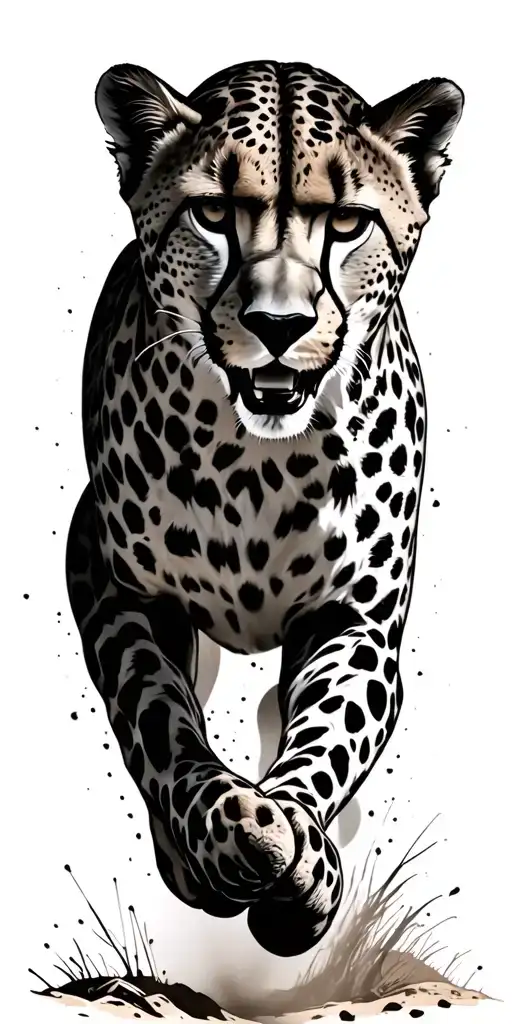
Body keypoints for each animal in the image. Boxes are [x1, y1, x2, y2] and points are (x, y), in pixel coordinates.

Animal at [65, 59, 463, 958]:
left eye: (348, 223)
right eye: (213, 213)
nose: (276, 324)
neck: (257, 461)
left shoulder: (354, 618)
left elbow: (328, 733)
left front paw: (298, 861)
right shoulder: (114, 585)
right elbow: (157, 715)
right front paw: (224, 830)